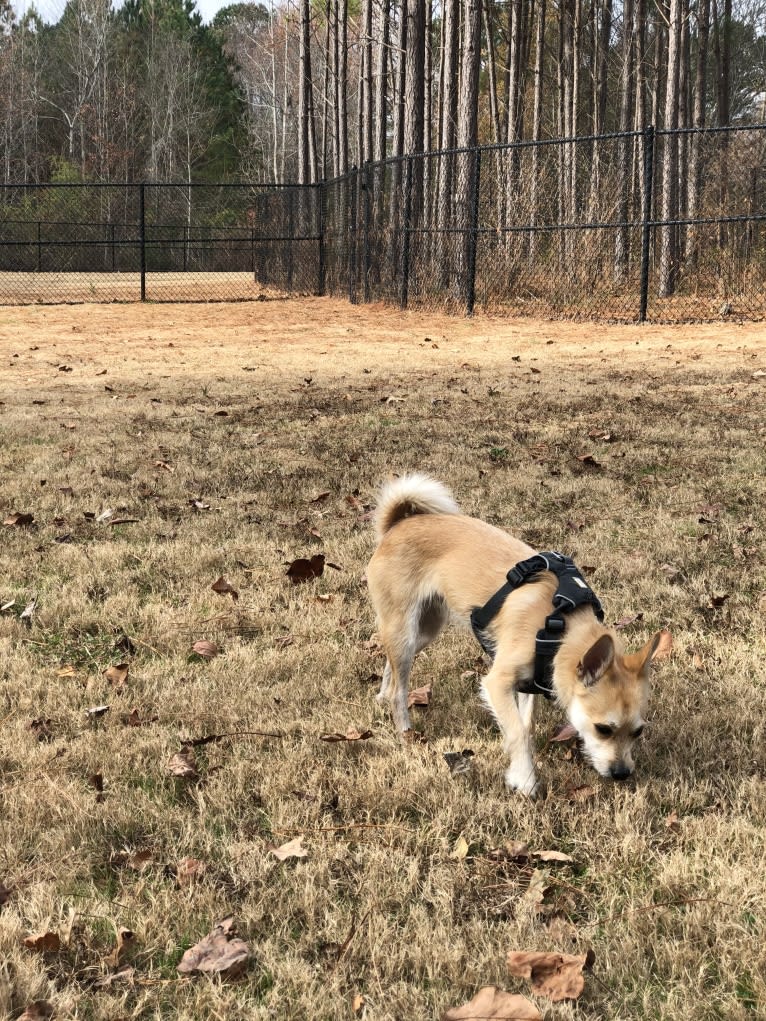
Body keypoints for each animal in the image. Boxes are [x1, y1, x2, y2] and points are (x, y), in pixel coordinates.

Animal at [367, 473, 665, 792]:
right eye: (603, 729)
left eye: (638, 731)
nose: (622, 773)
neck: (559, 626)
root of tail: (396, 526)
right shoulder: (497, 682)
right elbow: (518, 732)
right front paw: (524, 779)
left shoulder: (528, 683)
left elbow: (524, 724)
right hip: (406, 630)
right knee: (400, 690)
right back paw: (404, 732)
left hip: (423, 632)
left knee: (392, 664)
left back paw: (381, 695)